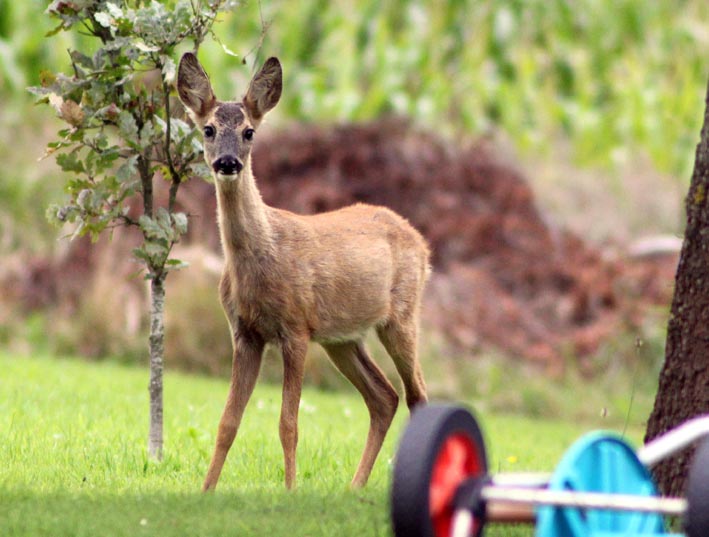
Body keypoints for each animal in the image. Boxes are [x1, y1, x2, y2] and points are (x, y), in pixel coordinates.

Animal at [177, 53, 432, 490]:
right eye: (208, 129)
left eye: (249, 132)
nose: (227, 163)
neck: (260, 259)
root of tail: (422, 243)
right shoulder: (245, 333)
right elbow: (227, 423)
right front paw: (206, 491)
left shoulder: (295, 329)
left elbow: (288, 424)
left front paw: (290, 489)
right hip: (341, 338)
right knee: (384, 397)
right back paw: (355, 486)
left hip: (400, 317)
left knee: (417, 396)